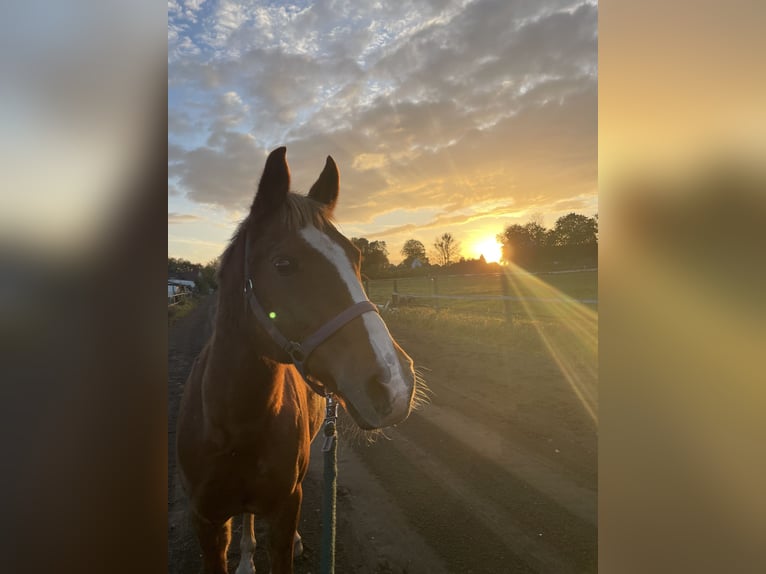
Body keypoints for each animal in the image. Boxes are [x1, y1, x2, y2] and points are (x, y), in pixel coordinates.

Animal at [176, 147, 417, 574]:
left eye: (356, 257)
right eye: (283, 264)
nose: (394, 384)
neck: (234, 425)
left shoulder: (285, 514)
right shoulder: (206, 522)